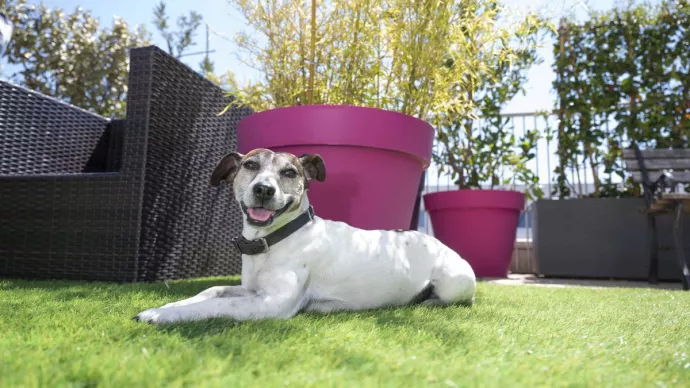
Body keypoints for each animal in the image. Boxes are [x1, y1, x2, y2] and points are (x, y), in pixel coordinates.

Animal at [136, 149, 478, 324]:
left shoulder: (271, 303)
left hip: (452, 284)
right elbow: (212, 291)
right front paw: (170, 305)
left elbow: (219, 306)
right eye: (250, 165)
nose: (264, 189)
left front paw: (162, 314)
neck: (273, 240)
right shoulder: (252, 290)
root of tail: (442, 245)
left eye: (290, 172)